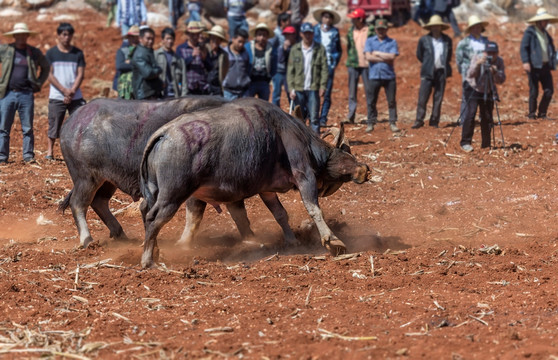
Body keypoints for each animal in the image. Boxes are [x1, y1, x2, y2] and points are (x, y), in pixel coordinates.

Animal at [59, 95, 230, 248]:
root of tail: (73, 120)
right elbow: (194, 213)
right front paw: (183, 242)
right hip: (86, 178)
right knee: (78, 203)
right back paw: (87, 240)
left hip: (106, 179)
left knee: (99, 201)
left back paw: (120, 234)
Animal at [139, 97, 372, 268]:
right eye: (347, 154)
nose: (365, 170)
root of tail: (163, 133)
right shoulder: (304, 176)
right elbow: (314, 209)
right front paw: (332, 241)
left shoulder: (266, 190)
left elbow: (280, 214)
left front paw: (292, 241)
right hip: (173, 196)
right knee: (153, 218)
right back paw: (148, 260)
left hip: (157, 194)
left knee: (146, 212)